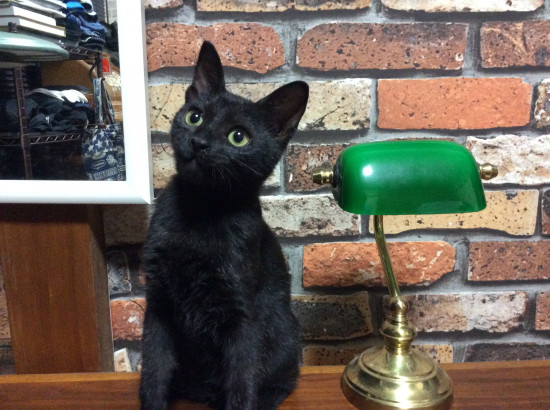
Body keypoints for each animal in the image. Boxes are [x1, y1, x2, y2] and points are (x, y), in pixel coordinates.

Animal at [139, 41, 309, 410]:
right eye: (195, 116)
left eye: (238, 137)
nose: (199, 142)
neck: (201, 211)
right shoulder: (158, 303)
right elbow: (153, 371)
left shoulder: (241, 315)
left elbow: (241, 379)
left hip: (283, 332)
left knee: (282, 380)